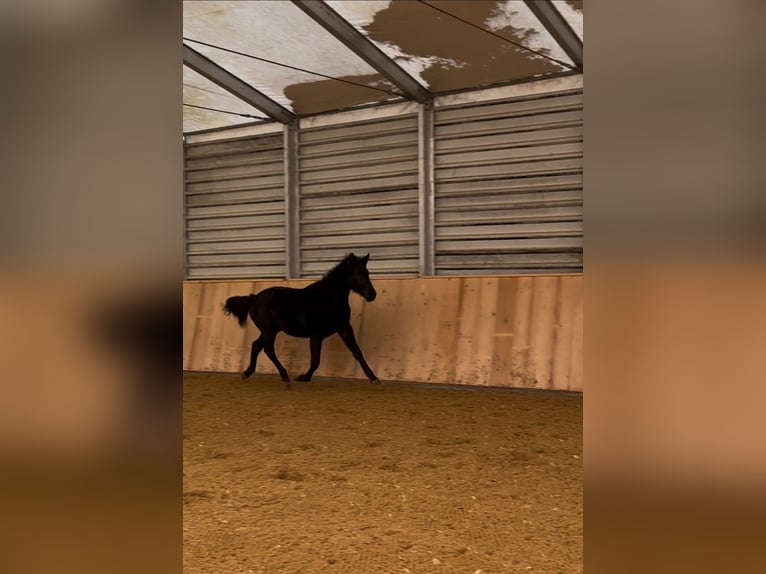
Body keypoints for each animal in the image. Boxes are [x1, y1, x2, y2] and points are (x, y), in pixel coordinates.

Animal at [225, 254, 380, 390]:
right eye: (357, 273)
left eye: (367, 272)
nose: (372, 294)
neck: (327, 299)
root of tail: (254, 298)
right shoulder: (316, 334)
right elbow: (316, 360)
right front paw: (303, 377)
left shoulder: (344, 328)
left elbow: (357, 352)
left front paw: (374, 378)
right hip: (269, 330)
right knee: (268, 349)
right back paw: (285, 377)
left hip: (270, 330)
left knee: (256, 345)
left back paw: (247, 373)